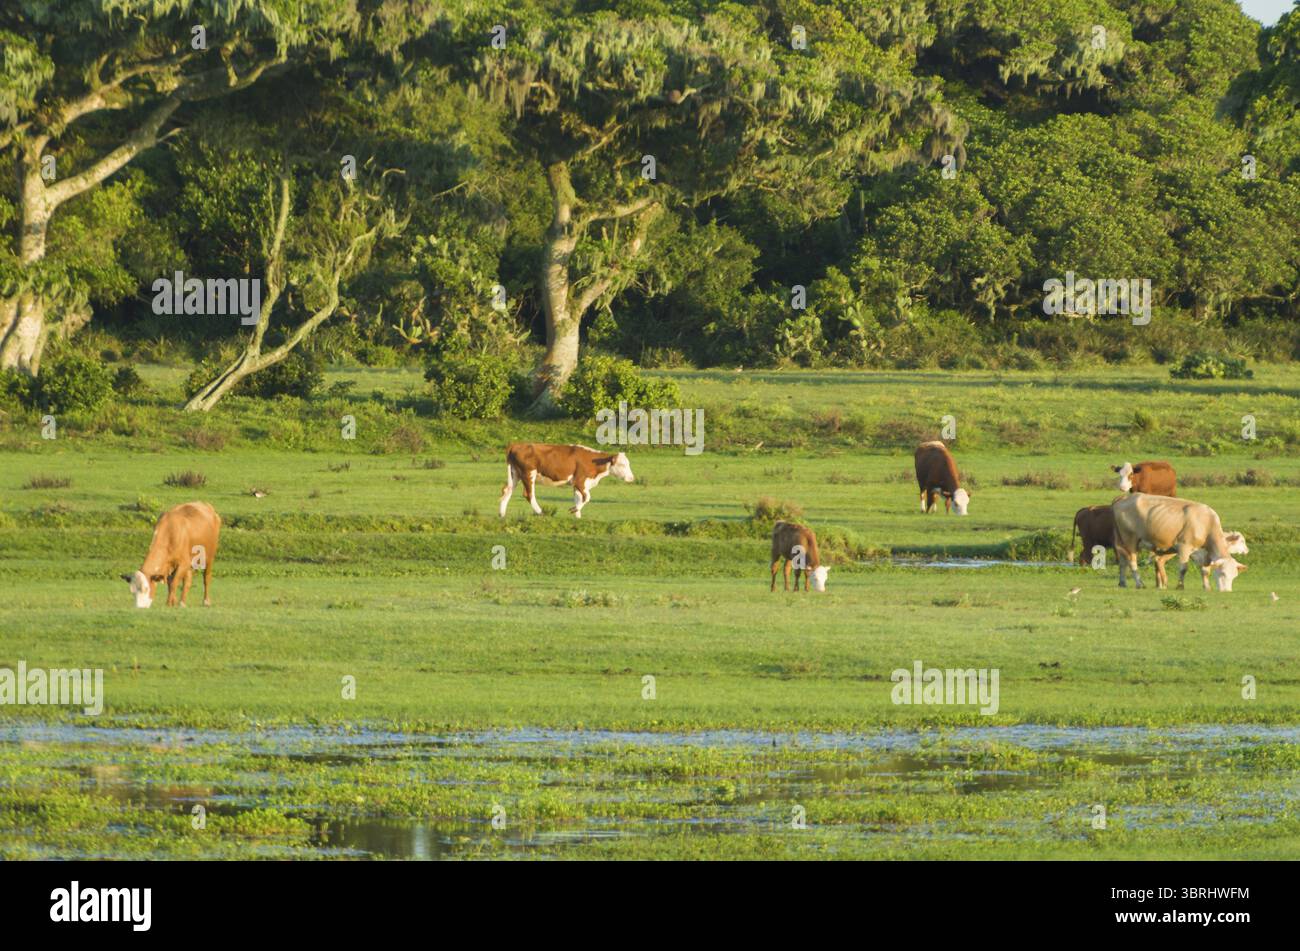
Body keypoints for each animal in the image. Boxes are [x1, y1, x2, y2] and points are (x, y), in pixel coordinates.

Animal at [499, 443, 634, 518]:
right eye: (622, 464)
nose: (632, 478)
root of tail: (517, 445)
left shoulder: (577, 484)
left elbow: (579, 498)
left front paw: (577, 516)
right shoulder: (580, 481)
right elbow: (587, 497)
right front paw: (574, 510)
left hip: (515, 474)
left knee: (507, 491)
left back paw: (502, 515)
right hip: (528, 474)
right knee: (529, 494)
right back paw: (541, 512)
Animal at [1111, 494, 1247, 591]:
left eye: (1234, 576)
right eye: (1223, 573)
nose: (1227, 591)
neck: (1206, 523)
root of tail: (1125, 497)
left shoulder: (1203, 553)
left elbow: (1205, 571)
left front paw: (1207, 587)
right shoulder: (1184, 546)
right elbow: (1183, 568)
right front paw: (1180, 586)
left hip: (1122, 541)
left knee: (1123, 562)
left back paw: (1122, 582)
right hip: (1130, 539)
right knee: (1132, 562)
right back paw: (1139, 583)